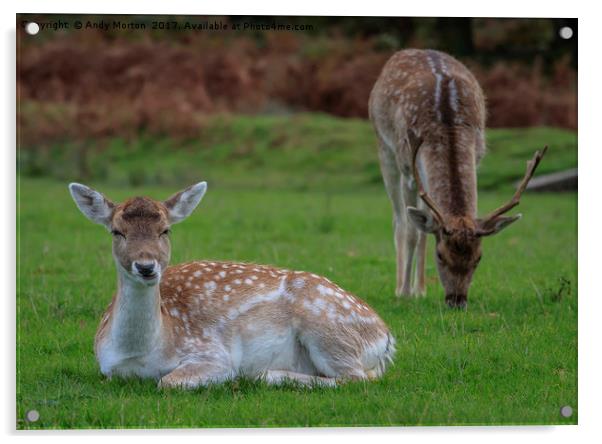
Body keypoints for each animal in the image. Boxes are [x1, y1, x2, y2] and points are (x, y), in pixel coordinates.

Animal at [68, 182, 394, 386]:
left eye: (166, 230)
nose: (146, 266)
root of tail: (387, 337)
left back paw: (266, 375)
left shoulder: (211, 352)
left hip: (329, 329)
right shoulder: (108, 368)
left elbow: (169, 382)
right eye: (116, 231)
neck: (144, 353)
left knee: (356, 378)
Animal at [368, 46, 548, 306]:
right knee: (399, 220)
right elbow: (411, 231)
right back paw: (402, 288)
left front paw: (418, 290)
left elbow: (425, 230)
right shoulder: (407, 168)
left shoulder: (476, 158)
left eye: (479, 257)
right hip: (384, 147)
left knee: (423, 226)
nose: (457, 300)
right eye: (440, 255)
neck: (447, 123)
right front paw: (404, 293)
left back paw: (420, 289)